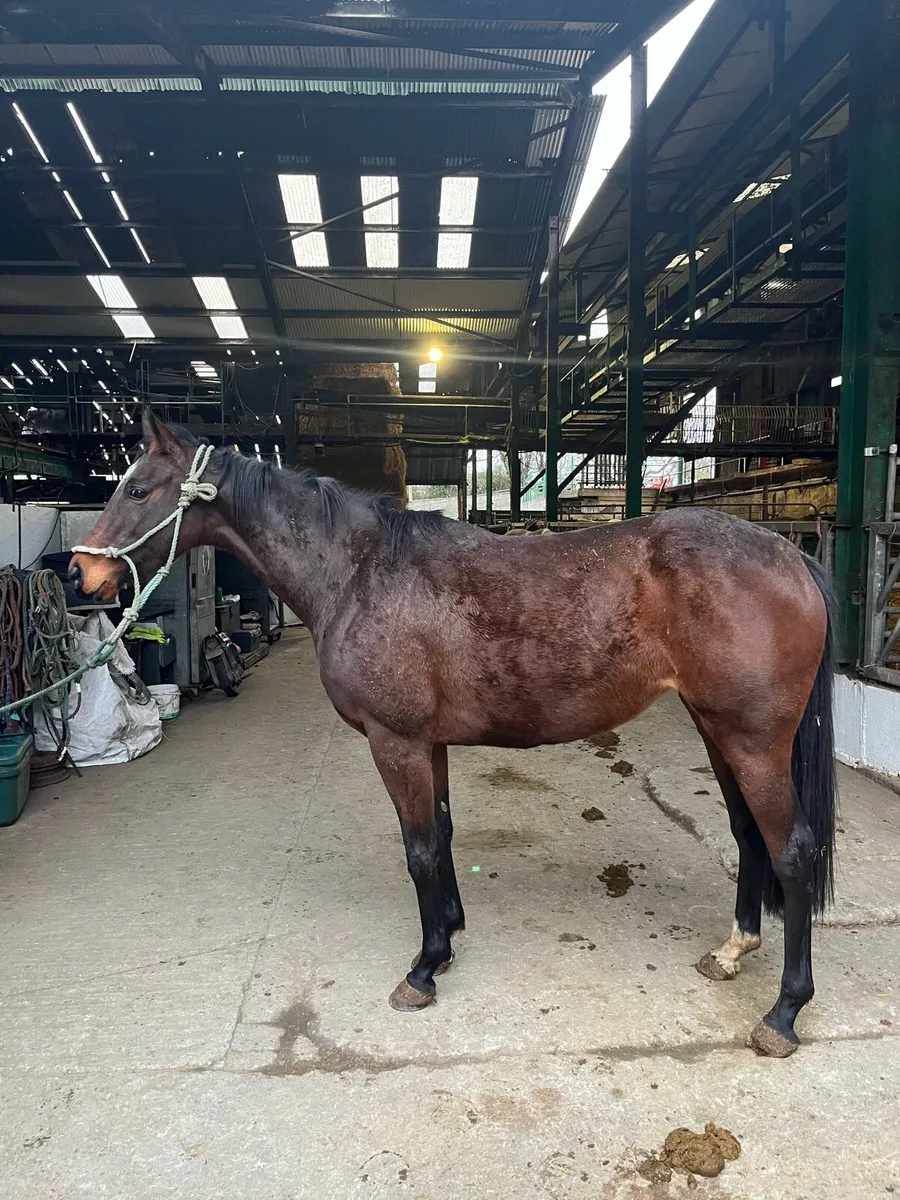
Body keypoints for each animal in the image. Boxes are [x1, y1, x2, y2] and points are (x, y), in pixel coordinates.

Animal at [69, 411, 837, 1058]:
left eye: (137, 488)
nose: (80, 572)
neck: (359, 573)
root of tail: (789, 555)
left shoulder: (396, 742)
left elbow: (416, 850)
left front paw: (425, 967)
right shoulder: (427, 745)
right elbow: (440, 834)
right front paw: (452, 931)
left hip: (753, 742)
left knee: (793, 851)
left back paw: (784, 1014)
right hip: (717, 728)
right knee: (748, 834)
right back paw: (733, 950)